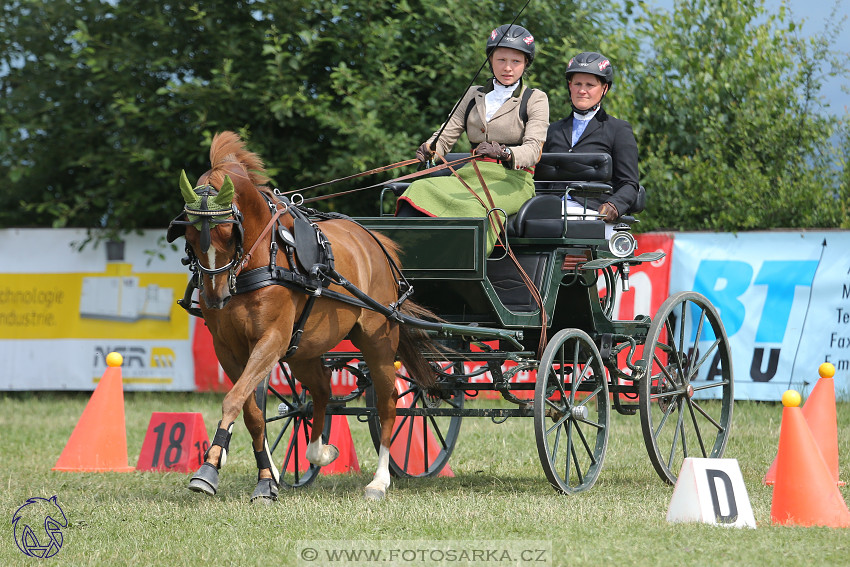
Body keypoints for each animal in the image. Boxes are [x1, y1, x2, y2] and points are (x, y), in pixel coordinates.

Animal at [168, 132, 434, 502]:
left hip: (377, 340)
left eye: (227, 234)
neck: (259, 262)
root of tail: (374, 241)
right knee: (321, 391)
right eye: (190, 236)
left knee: (388, 402)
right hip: (303, 349)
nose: (215, 297)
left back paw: (379, 480)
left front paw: (208, 469)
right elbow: (251, 411)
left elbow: (234, 398)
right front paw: (266, 477)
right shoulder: (228, 348)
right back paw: (318, 452)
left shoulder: (271, 340)